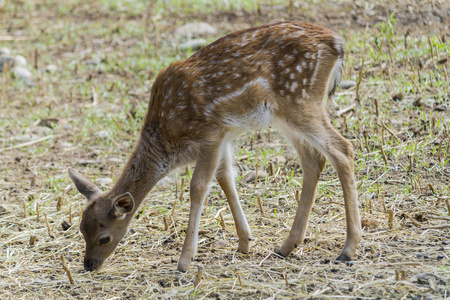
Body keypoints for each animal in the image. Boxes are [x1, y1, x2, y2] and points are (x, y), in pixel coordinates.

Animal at [67, 21, 362, 272]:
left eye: (104, 237)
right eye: (81, 230)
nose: (89, 265)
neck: (168, 141)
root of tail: (336, 44)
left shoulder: (209, 134)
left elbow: (198, 186)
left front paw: (184, 261)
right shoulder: (224, 137)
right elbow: (225, 178)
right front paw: (244, 242)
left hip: (300, 100)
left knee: (343, 149)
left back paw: (348, 249)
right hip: (287, 113)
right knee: (314, 160)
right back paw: (286, 246)